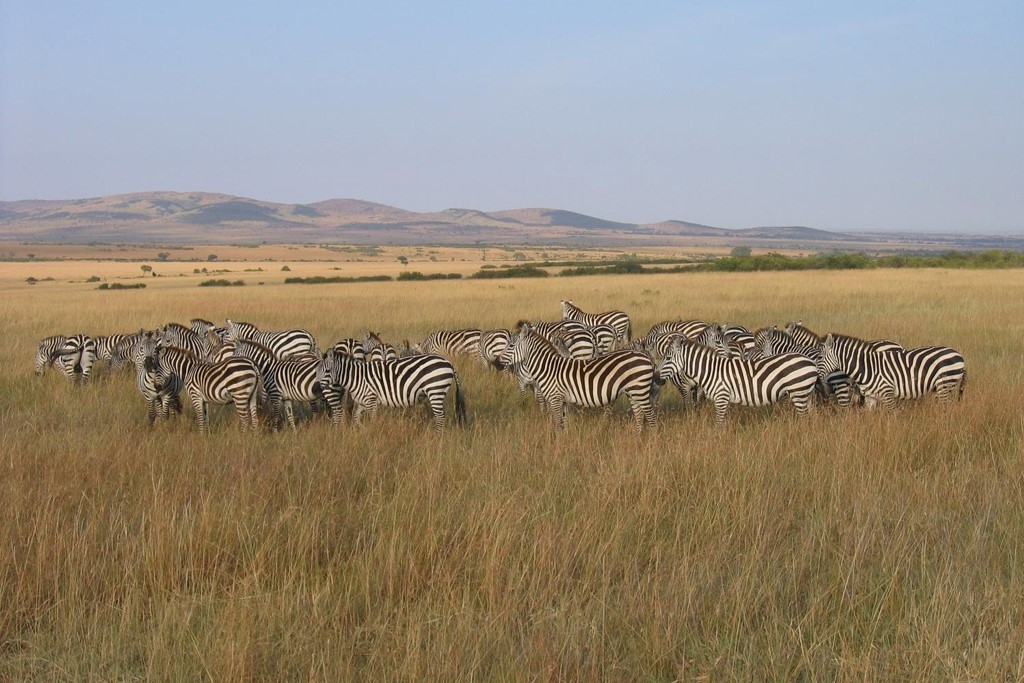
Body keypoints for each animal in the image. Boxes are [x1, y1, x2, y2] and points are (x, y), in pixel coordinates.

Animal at [317, 350, 466, 430]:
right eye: (317, 371)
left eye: (327, 371)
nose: (317, 387)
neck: (356, 378)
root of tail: (448, 363)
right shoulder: (362, 401)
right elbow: (356, 418)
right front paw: (364, 430)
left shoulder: (371, 399)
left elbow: (373, 419)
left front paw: (372, 434)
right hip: (437, 391)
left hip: (435, 390)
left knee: (440, 416)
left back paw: (437, 436)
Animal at [493, 321, 655, 430]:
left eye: (511, 345)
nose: (496, 363)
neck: (547, 367)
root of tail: (645, 356)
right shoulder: (562, 400)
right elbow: (564, 424)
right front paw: (564, 443)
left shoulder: (555, 399)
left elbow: (558, 424)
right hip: (633, 392)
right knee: (639, 415)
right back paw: (637, 438)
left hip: (639, 390)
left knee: (650, 416)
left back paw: (651, 442)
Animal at [659, 335, 819, 423]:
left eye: (668, 358)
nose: (657, 379)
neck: (711, 371)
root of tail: (811, 362)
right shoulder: (724, 400)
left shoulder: (721, 397)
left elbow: (719, 423)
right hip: (806, 394)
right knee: (811, 416)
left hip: (798, 392)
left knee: (804, 418)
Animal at [815, 333, 966, 409]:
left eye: (820, 357)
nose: (816, 376)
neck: (868, 368)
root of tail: (959, 355)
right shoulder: (870, 398)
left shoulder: (888, 394)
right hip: (941, 387)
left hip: (945, 384)